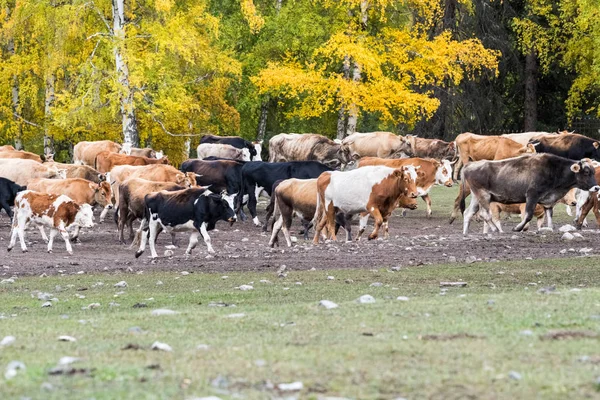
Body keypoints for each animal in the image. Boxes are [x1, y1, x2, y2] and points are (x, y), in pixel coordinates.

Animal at [462, 154, 596, 234]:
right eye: (586, 172)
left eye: (594, 172)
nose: (597, 187)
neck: (553, 170)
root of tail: (470, 164)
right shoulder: (532, 195)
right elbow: (528, 215)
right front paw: (517, 228)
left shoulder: (548, 201)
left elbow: (549, 217)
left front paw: (550, 229)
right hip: (484, 196)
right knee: (485, 214)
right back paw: (496, 229)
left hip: (476, 197)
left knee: (468, 213)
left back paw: (465, 233)